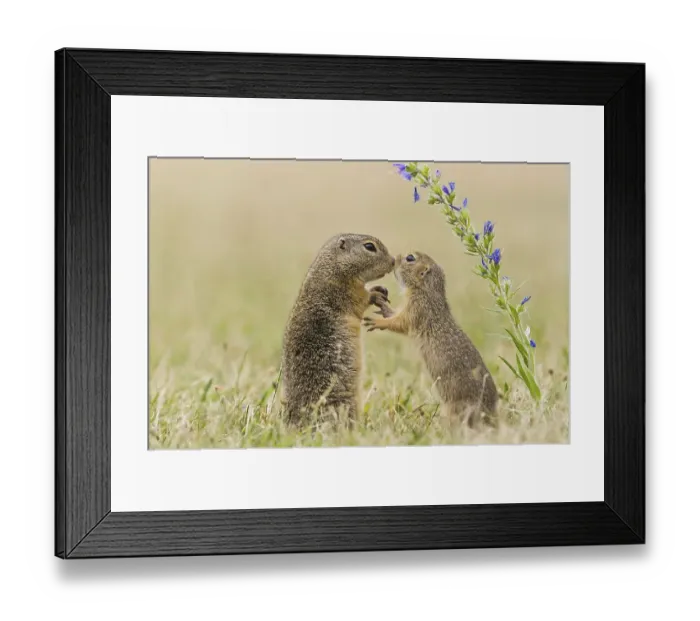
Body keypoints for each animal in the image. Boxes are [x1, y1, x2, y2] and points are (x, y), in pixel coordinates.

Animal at [281, 233, 395, 424]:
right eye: (369, 247)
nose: (393, 261)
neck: (333, 266)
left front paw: (380, 289)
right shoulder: (349, 292)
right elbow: (362, 300)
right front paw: (376, 293)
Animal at [363, 251, 499, 427]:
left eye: (410, 258)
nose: (394, 258)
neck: (426, 289)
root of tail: (492, 416)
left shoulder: (417, 308)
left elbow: (401, 323)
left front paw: (376, 322)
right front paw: (383, 305)